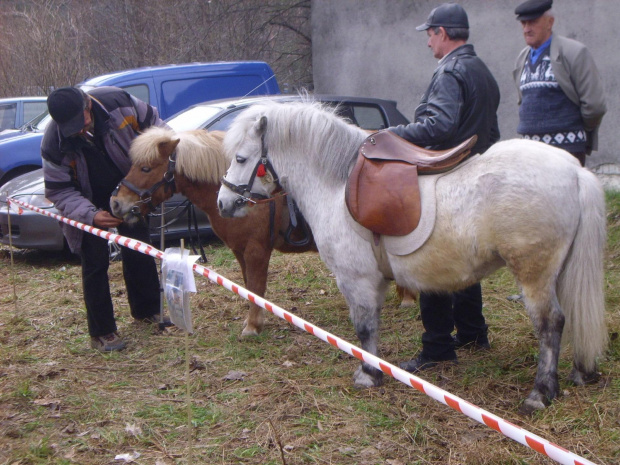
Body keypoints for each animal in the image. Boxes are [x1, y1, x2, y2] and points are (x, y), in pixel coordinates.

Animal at [217, 99, 604, 412]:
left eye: (241, 158)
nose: (223, 202)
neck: (337, 183)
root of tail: (575, 171)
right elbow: (371, 327)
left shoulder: (356, 280)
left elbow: (364, 329)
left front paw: (369, 374)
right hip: (559, 272)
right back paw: (578, 373)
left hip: (534, 275)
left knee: (550, 324)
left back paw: (540, 393)